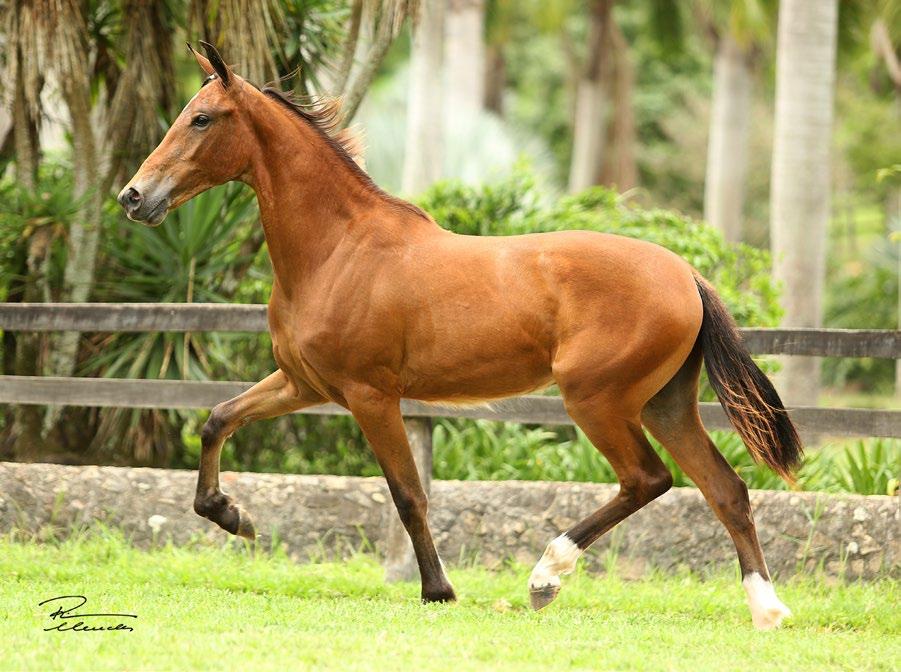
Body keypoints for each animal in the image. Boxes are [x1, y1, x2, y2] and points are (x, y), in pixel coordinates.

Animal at [119, 43, 800, 632]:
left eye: (201, 118)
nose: (132, 196)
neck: (338, 251)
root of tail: (686, 275)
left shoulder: (370, 396)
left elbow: (408, 494)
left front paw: (438, 590)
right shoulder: (304, 384)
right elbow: (217, 418)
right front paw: (233, 517)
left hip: (597, 400)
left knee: (647, 480)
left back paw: (545, 577)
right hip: (665, 405)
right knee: (726, 490)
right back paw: (766, 611)